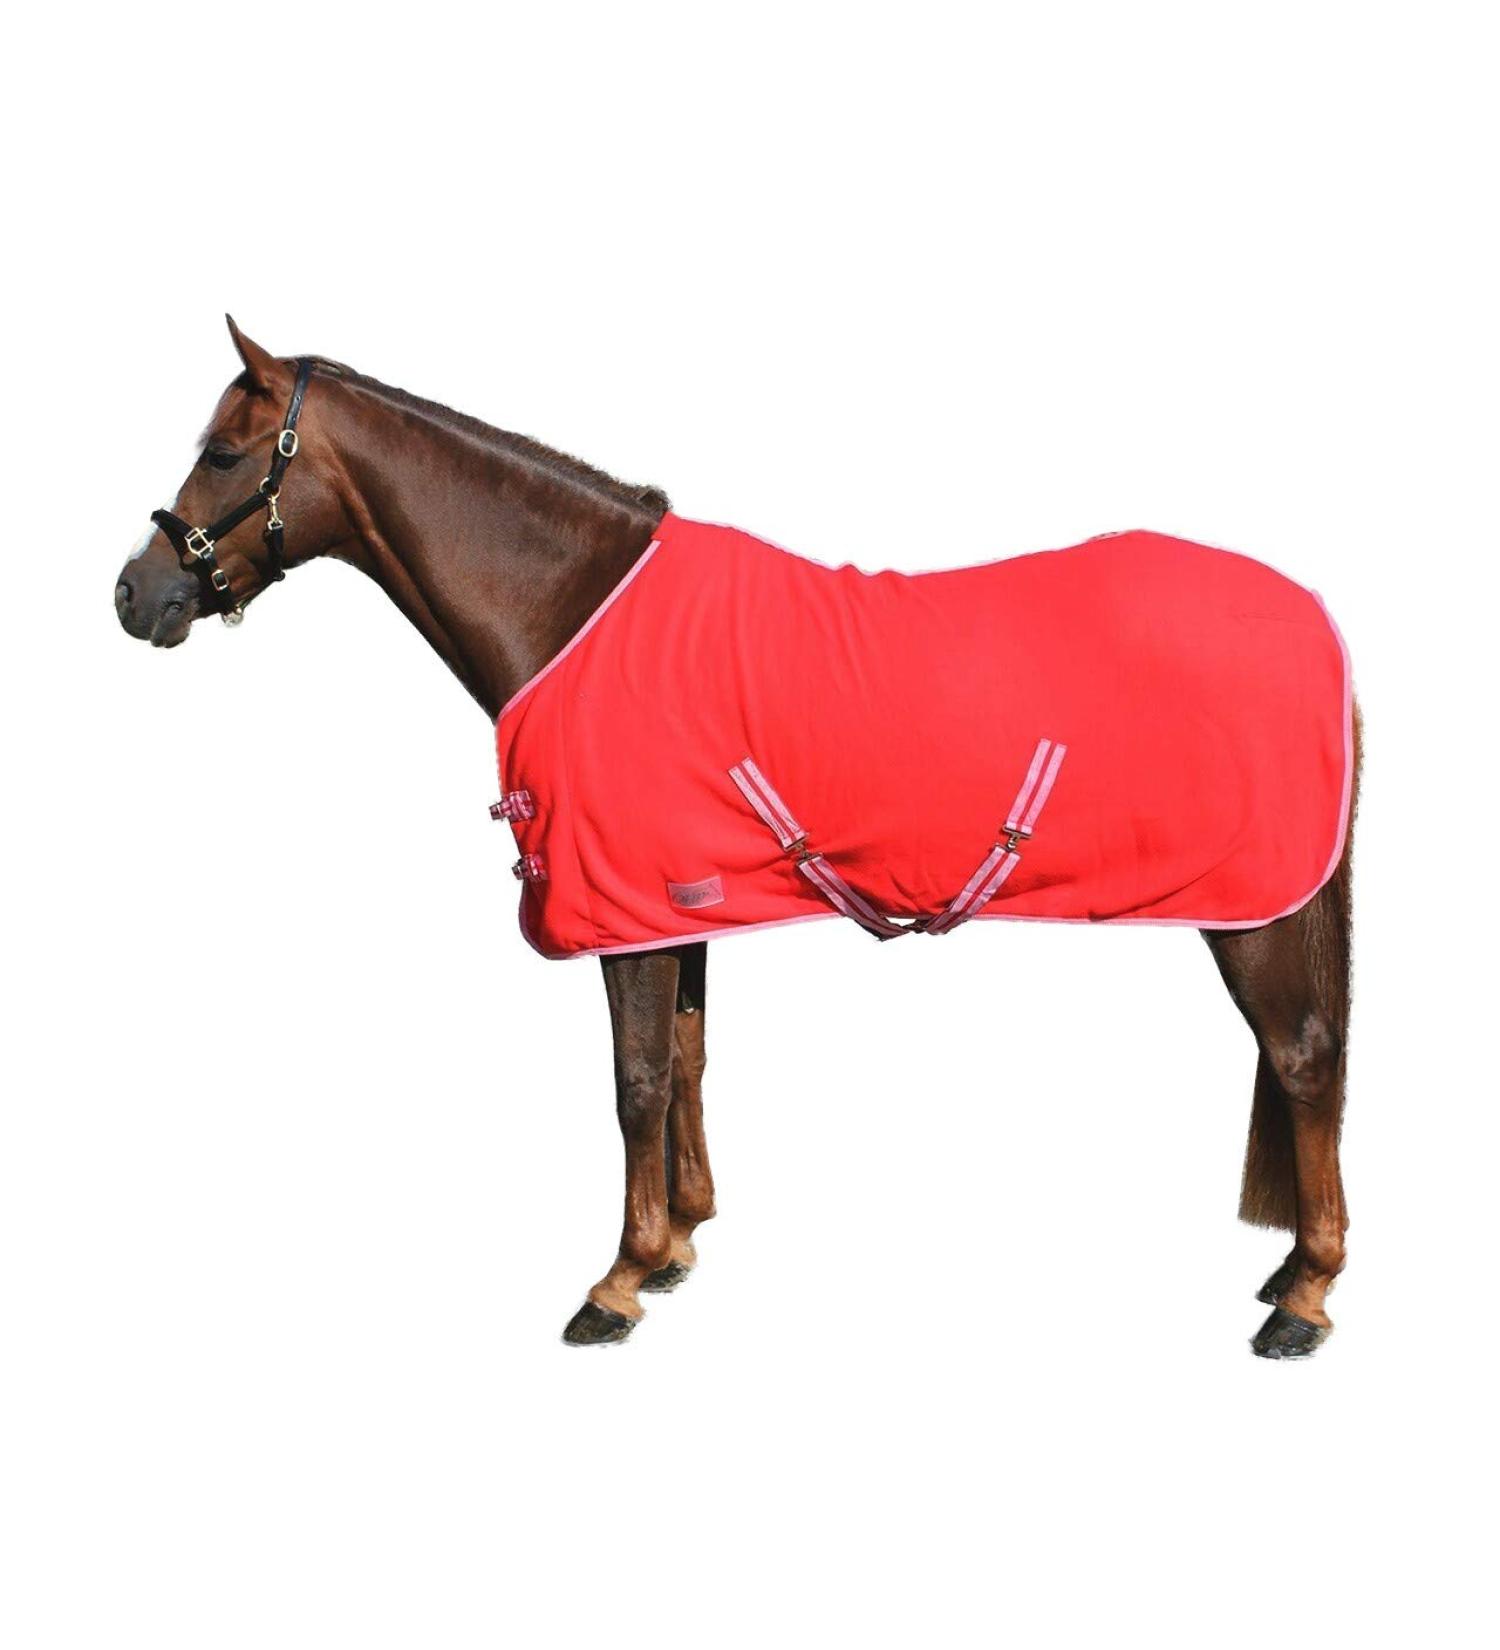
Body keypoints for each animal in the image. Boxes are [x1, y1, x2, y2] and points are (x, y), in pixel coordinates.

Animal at [115, 318, 1358, 1356]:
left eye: (222, 454)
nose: (136, 596)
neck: (577, 607)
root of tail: (1313, 623)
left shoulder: (623, 912)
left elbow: (635, 1080)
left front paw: (616, 1283)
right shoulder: (678, 901)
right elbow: (689, 1063)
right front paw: (677, 1248)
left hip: (1252, 906)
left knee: (1301, 1057)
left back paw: (1302, 1298)